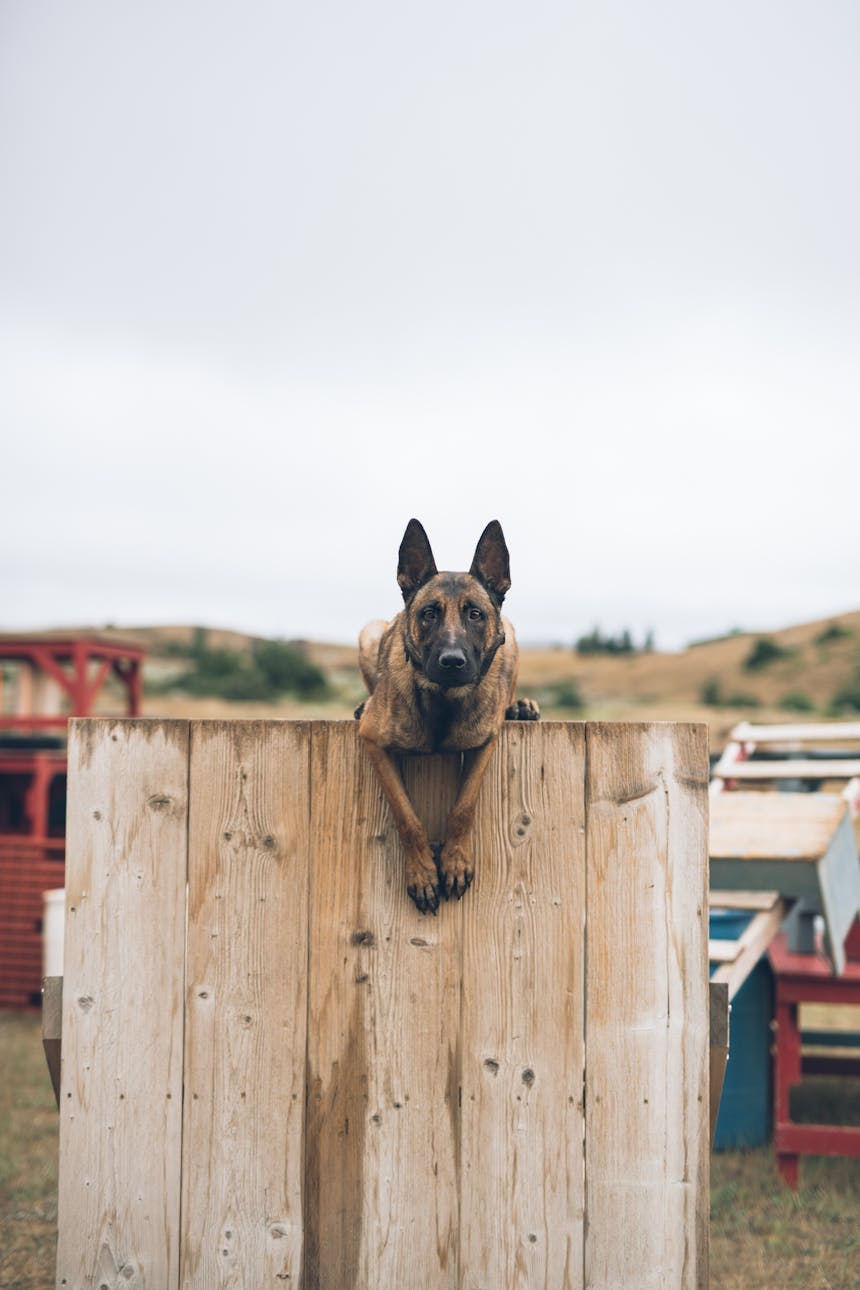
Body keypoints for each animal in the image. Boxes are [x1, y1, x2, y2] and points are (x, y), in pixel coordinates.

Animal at [355, 518, 538, 913]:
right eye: (429, 614)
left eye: (475, 614)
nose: (452, 662)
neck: (444, 700)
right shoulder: (374, 741)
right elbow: (408, 817)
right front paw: (423, 873)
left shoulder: (485, 742)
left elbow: (463, 808)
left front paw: (455, 861)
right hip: (370, 631)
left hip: (512, 638)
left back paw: (519, 706)